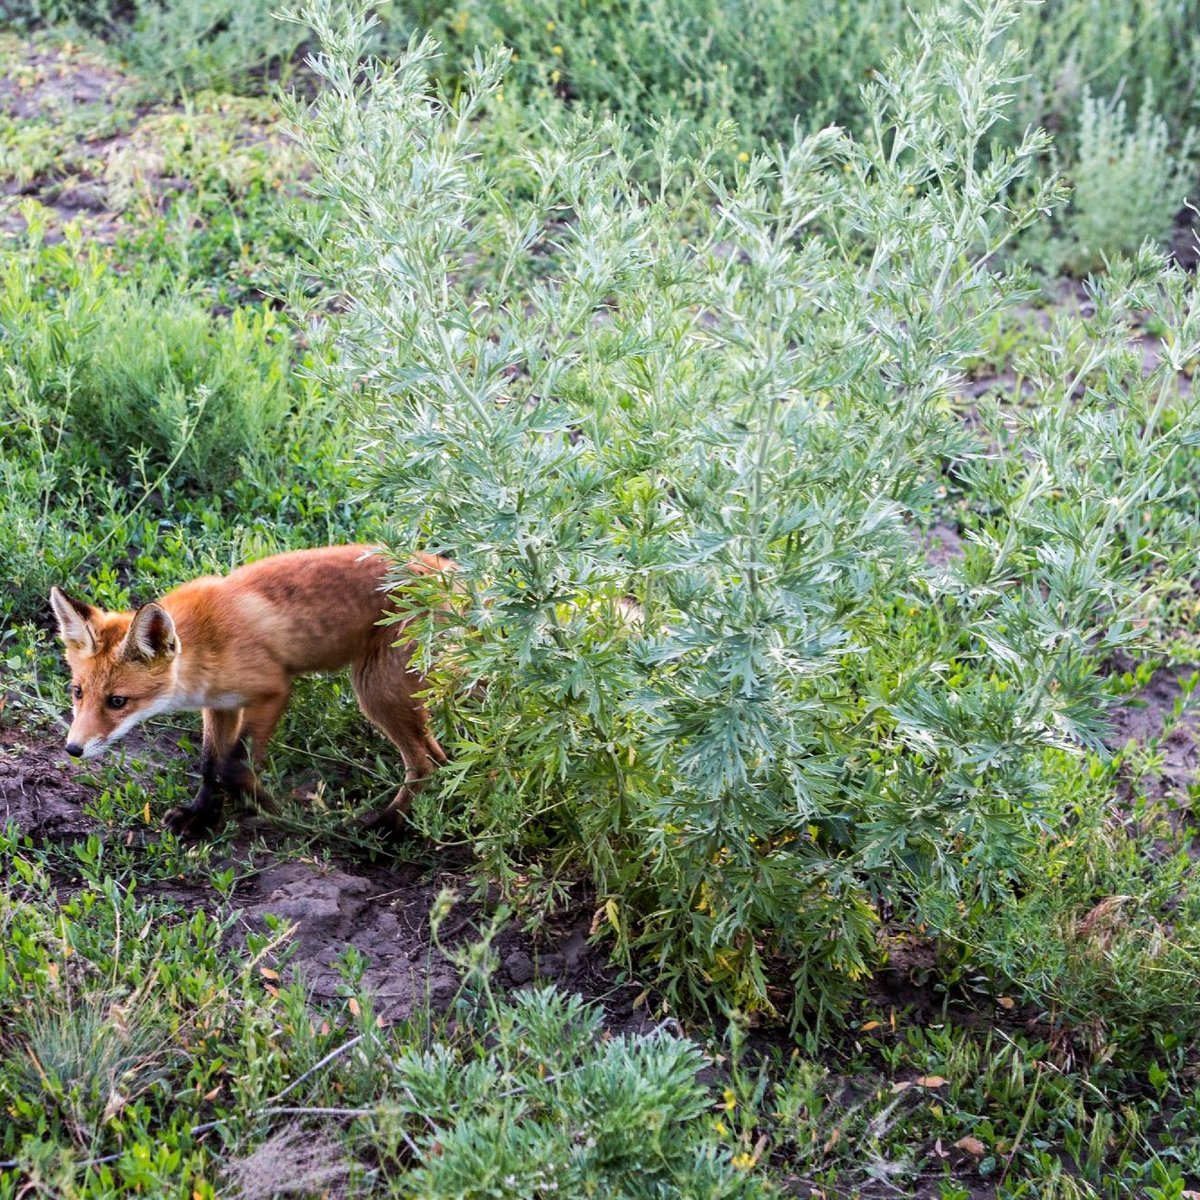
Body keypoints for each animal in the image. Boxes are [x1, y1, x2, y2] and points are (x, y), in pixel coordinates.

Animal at [45, 544, 451, 835]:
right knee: (439, 757)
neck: (207, 645)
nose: (73, 749)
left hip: (375, 692)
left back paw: (385, 825)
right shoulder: (221, 706)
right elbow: (210, 764)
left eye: (117, 701)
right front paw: (201, 816)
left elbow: (232, 764)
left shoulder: (273, 691)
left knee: (423, 764)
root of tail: (446, 570)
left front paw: (271, 809)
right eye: (77, 692)